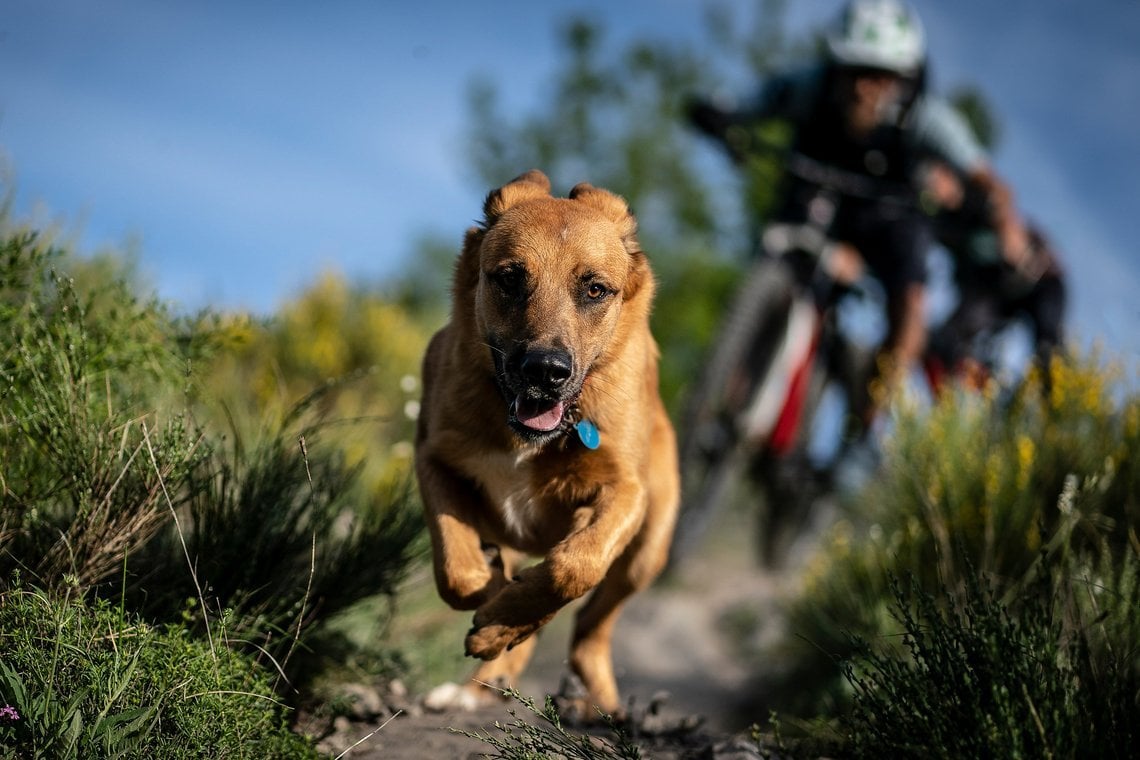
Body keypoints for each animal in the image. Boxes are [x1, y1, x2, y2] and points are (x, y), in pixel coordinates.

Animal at [417, 169, 674, 715]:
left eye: (595, 289)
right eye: (510, 278)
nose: (545, 371)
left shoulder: (625, 492)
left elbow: (573, 567)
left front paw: (501, 620)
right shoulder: (434, 459)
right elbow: (460, 574)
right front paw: (494, 602)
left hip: (648, 551)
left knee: (594, 623)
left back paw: (594, 698)